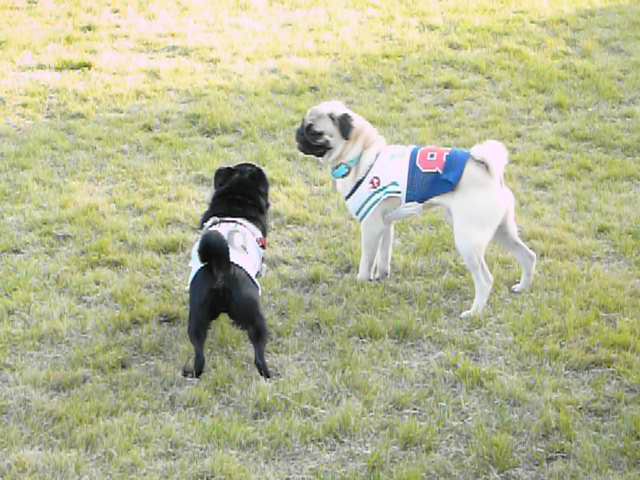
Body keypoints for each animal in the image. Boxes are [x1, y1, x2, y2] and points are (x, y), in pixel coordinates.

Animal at [182, 163, 271, 378]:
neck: (235, 204)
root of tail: (220, 267)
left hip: (197, 318)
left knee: (199, 354)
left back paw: (192, 373)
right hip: (256, 319)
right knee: (259, 353)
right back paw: (268, 374)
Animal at [296, 100, 536, 318]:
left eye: (314, 132)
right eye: (303, 126)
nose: (297, 133)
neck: (361, 153)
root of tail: (490, 174)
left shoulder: (371, 226)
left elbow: (367, 261)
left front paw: (361, 283)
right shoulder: (385, 225)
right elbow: (384, 256)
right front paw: (381, 277)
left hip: (468, 240)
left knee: (486, 280)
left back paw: (474, 313)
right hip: (501, 232)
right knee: (528, 256)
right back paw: (522, 288)